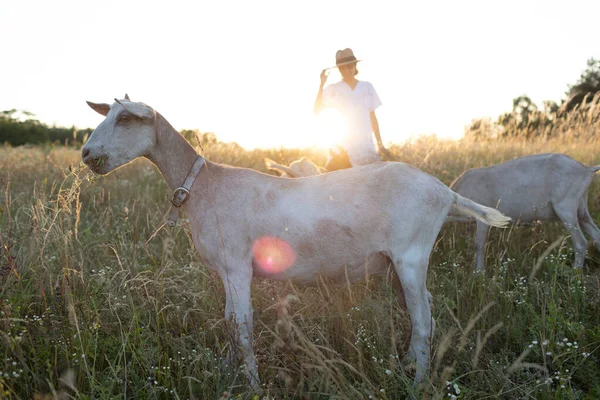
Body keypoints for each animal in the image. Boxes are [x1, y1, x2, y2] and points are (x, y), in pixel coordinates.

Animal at [81, 95, 510, 386]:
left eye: (125, 118)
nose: (87, 154)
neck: (204, 185)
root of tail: (445, 192)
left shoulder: (237, 267)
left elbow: (241, 325)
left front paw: (252, 384)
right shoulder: (227, 271)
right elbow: (228, 321)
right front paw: (226, 373)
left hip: (411, 254)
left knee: (421, 320)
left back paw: (418, 383)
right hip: (395, 264)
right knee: (427, 311)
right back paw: (408, 366)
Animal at [450, 153, 600, 272]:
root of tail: (586, 169)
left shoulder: (483, 218)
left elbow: (479, 244)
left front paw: (479, 273)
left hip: (566, 208)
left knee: (581, 243)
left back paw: (575, 273)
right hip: (581, 210)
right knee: (596, 234)